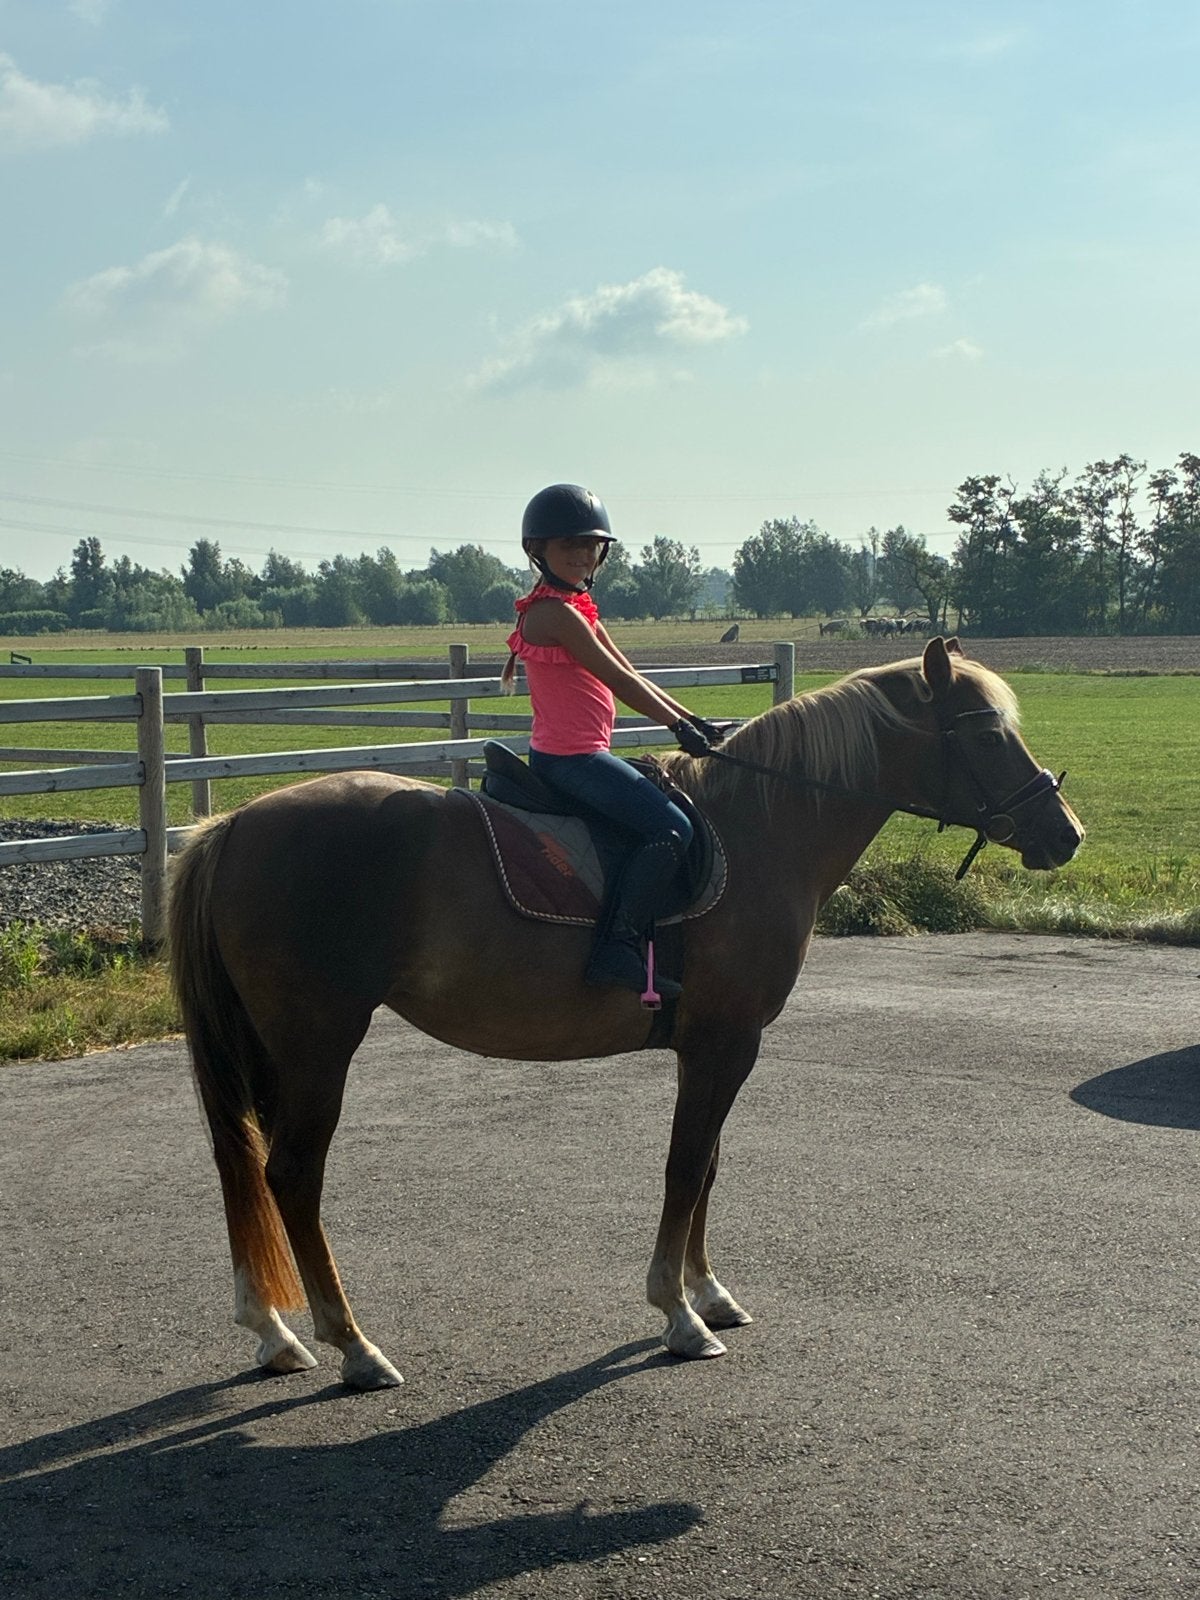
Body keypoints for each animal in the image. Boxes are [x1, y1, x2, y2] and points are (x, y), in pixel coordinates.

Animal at [169, 638, 1084, 1390]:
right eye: (986, 736)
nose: (1065, 832)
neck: (758, 828)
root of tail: (235, 825)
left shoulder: (713, 1049)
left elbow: (707, 1165)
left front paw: (708, 1292)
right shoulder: (723, 1044)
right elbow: (685, 1167)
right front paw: (677, 1315)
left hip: (274, 1048)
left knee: (241, 1163)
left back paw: (275, 1331)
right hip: (318, 1044)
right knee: (292, 1174)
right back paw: (353, 1345)